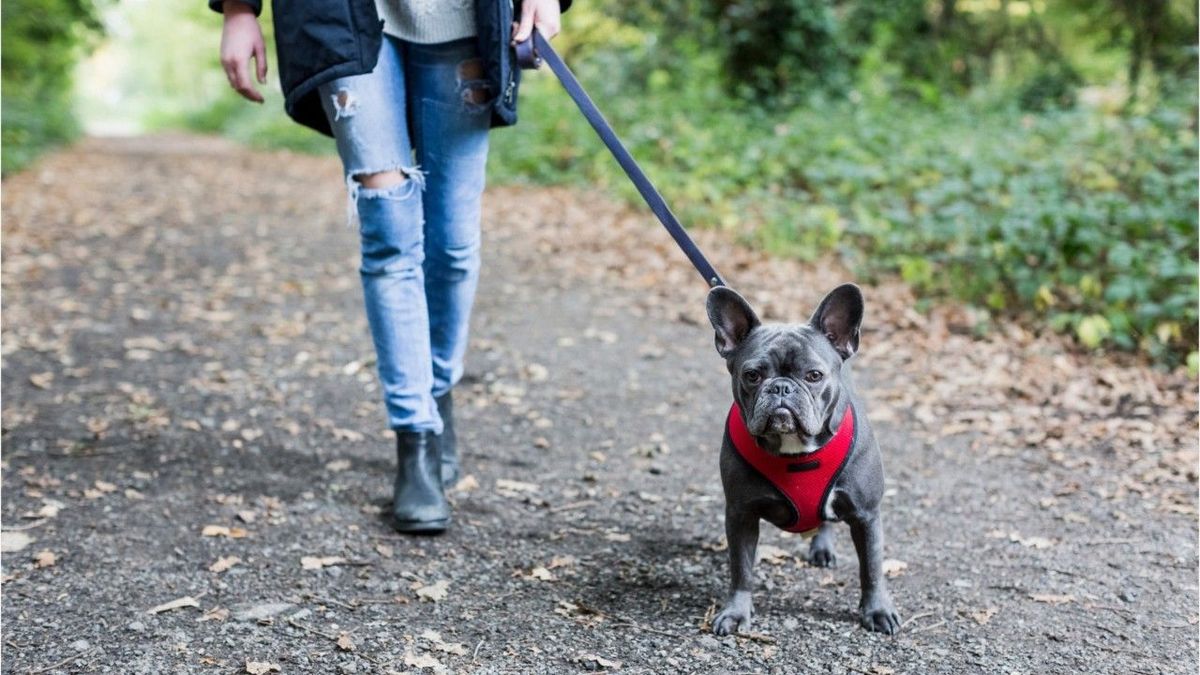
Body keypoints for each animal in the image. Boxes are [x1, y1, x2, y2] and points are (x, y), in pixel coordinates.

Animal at [700, 281, 902, 634]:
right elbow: (741, 569)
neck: (795, 448)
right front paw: (736, 612)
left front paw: (877, 610)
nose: (781, 387)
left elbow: (872, 567)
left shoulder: (866, 514)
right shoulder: (740, 514)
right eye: (752, 375)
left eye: (813, 375)